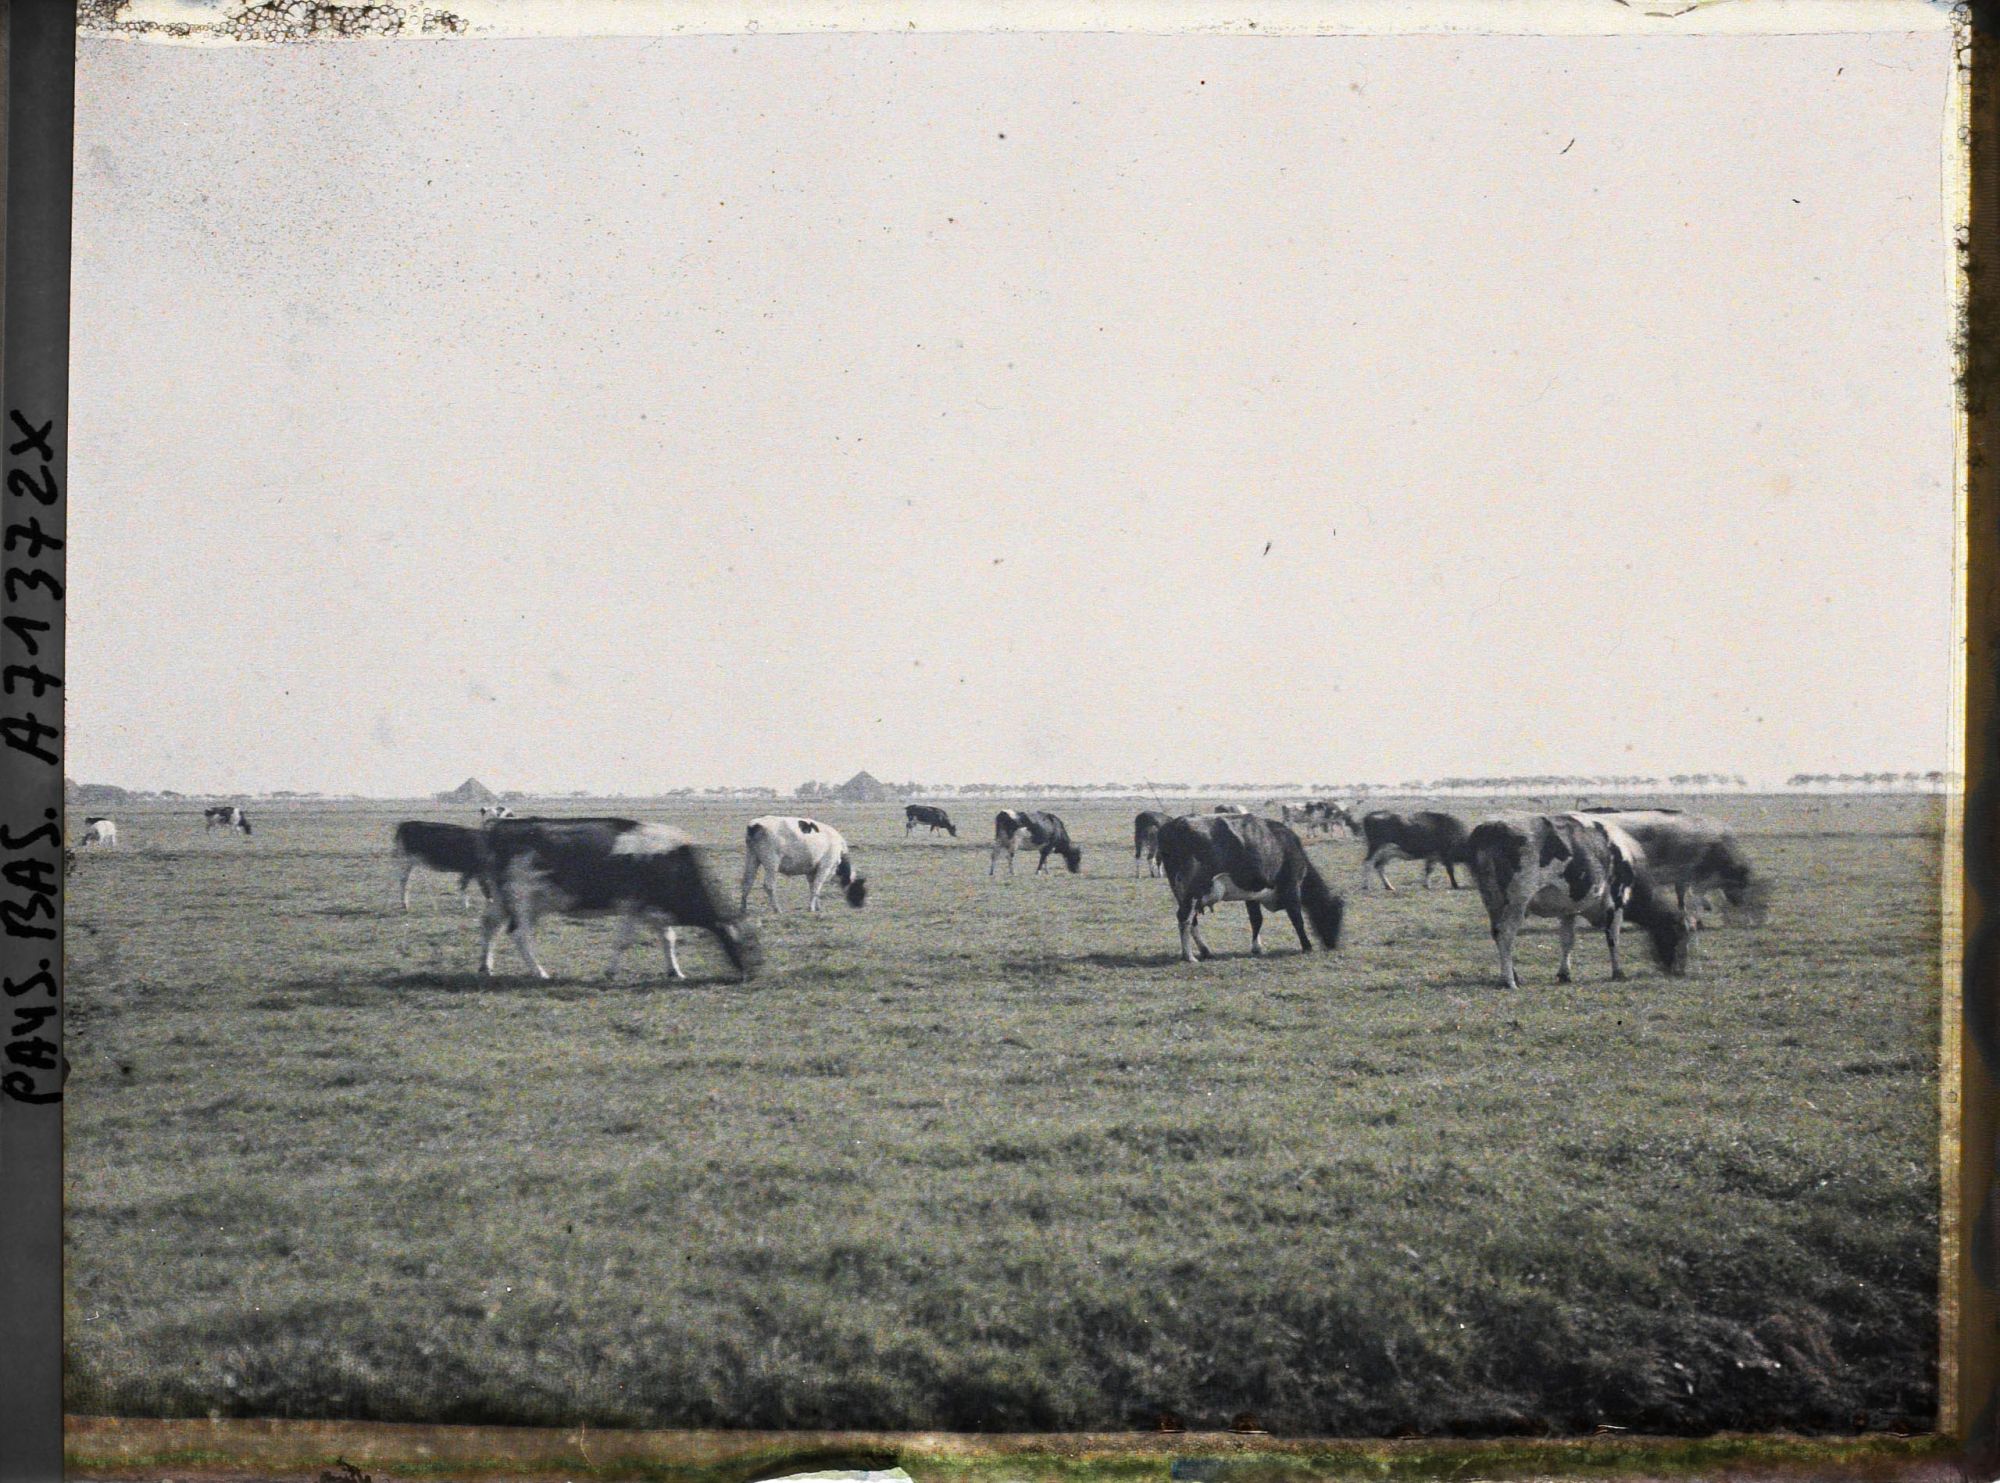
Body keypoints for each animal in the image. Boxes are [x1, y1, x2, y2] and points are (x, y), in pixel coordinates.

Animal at [478, 816, 748, 982]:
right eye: (747, 945)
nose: (753, 973)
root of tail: (501, 826)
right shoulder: (633, 906)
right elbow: (624, 941)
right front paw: (610, 972)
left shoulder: (654, 908)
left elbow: (668, 938)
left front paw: (675, 971)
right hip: (523, 900)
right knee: (520, 935)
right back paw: (540, 972)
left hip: (505, 899)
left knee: (489, 924)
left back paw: (485, 967)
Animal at [1155, 813, 1345, 963]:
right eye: (1335, 915)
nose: (1334, 945)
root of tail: (1174, 824)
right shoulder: (1291, 887)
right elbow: (1296, 918)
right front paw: (1307, 946)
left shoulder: (1252, 894)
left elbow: (1256, 919)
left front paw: (1257, 947)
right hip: (1194, 890)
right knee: (1185, 918)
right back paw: (1189, 956)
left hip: (1184, 893)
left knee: (1191, 919)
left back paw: (1205, 951)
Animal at [1465, 813, 1693, 991]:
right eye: (1679, 934)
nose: (1680, 971)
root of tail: (1492, 826)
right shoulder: (1616, 901)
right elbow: (1613, 937)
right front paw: (1618, 972)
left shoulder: (1568, 909)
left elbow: (1567, 940)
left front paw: (1564, 974)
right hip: (1517, 902)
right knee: (1506, 935)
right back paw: (1509, 981)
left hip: (1492, 901)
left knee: (1497, 933)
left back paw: (1514, 975)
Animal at [1575, 808, 1765, 920]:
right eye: (1743, 881)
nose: (1740, 903)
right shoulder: (1691, 872)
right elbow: (1693, 893)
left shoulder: (1682, 875)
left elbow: (1682, 893)